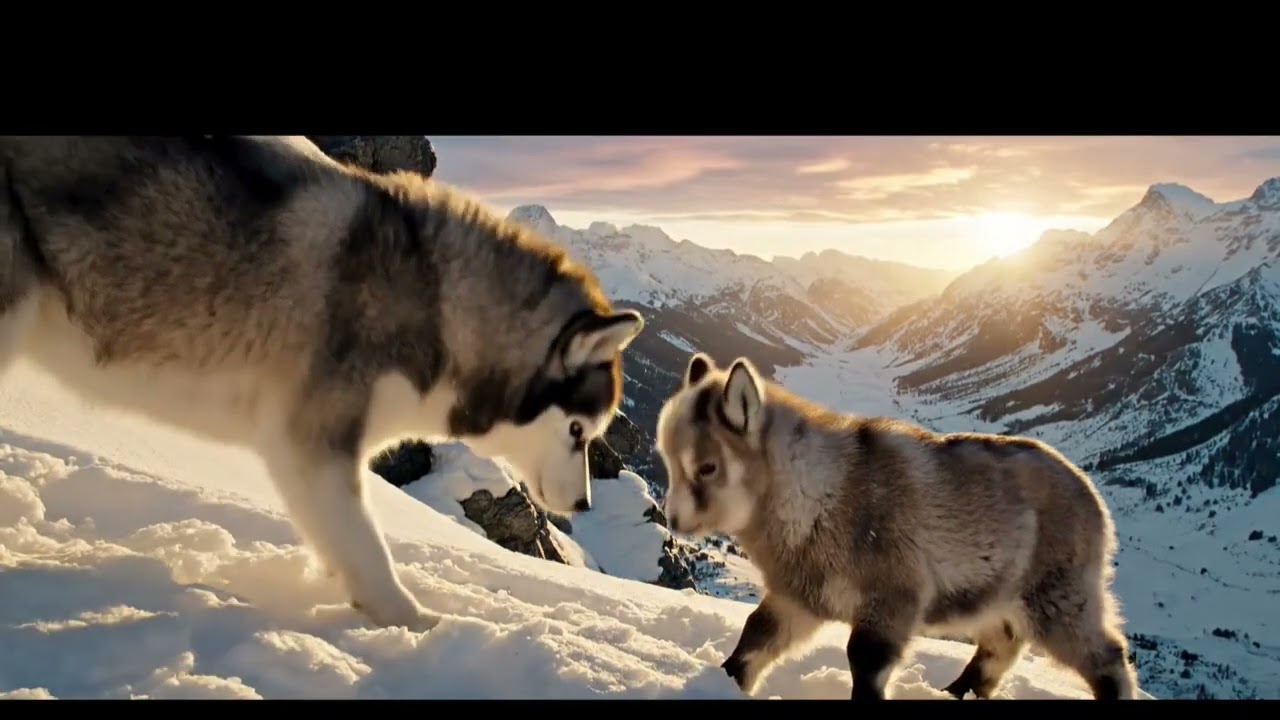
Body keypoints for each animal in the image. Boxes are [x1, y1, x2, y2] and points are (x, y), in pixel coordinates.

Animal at [0, 136, 644, 632]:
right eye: (579, 430)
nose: (583, 504)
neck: (438, 303)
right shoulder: (313, 441)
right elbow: (367, 544)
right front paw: (415, 624)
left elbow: (340, 541)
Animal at [655, 352, 1140, 701]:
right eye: (669, 460)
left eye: (708, 466)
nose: (675, 520)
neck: (818, 491)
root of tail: (1092, 497)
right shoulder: (799, 596)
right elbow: (753, 637)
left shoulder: (891, 597)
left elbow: (866, 662)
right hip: (998, 599)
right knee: (1001, 646)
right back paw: (955, 693)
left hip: (1059, 597)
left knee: (1107, 657)